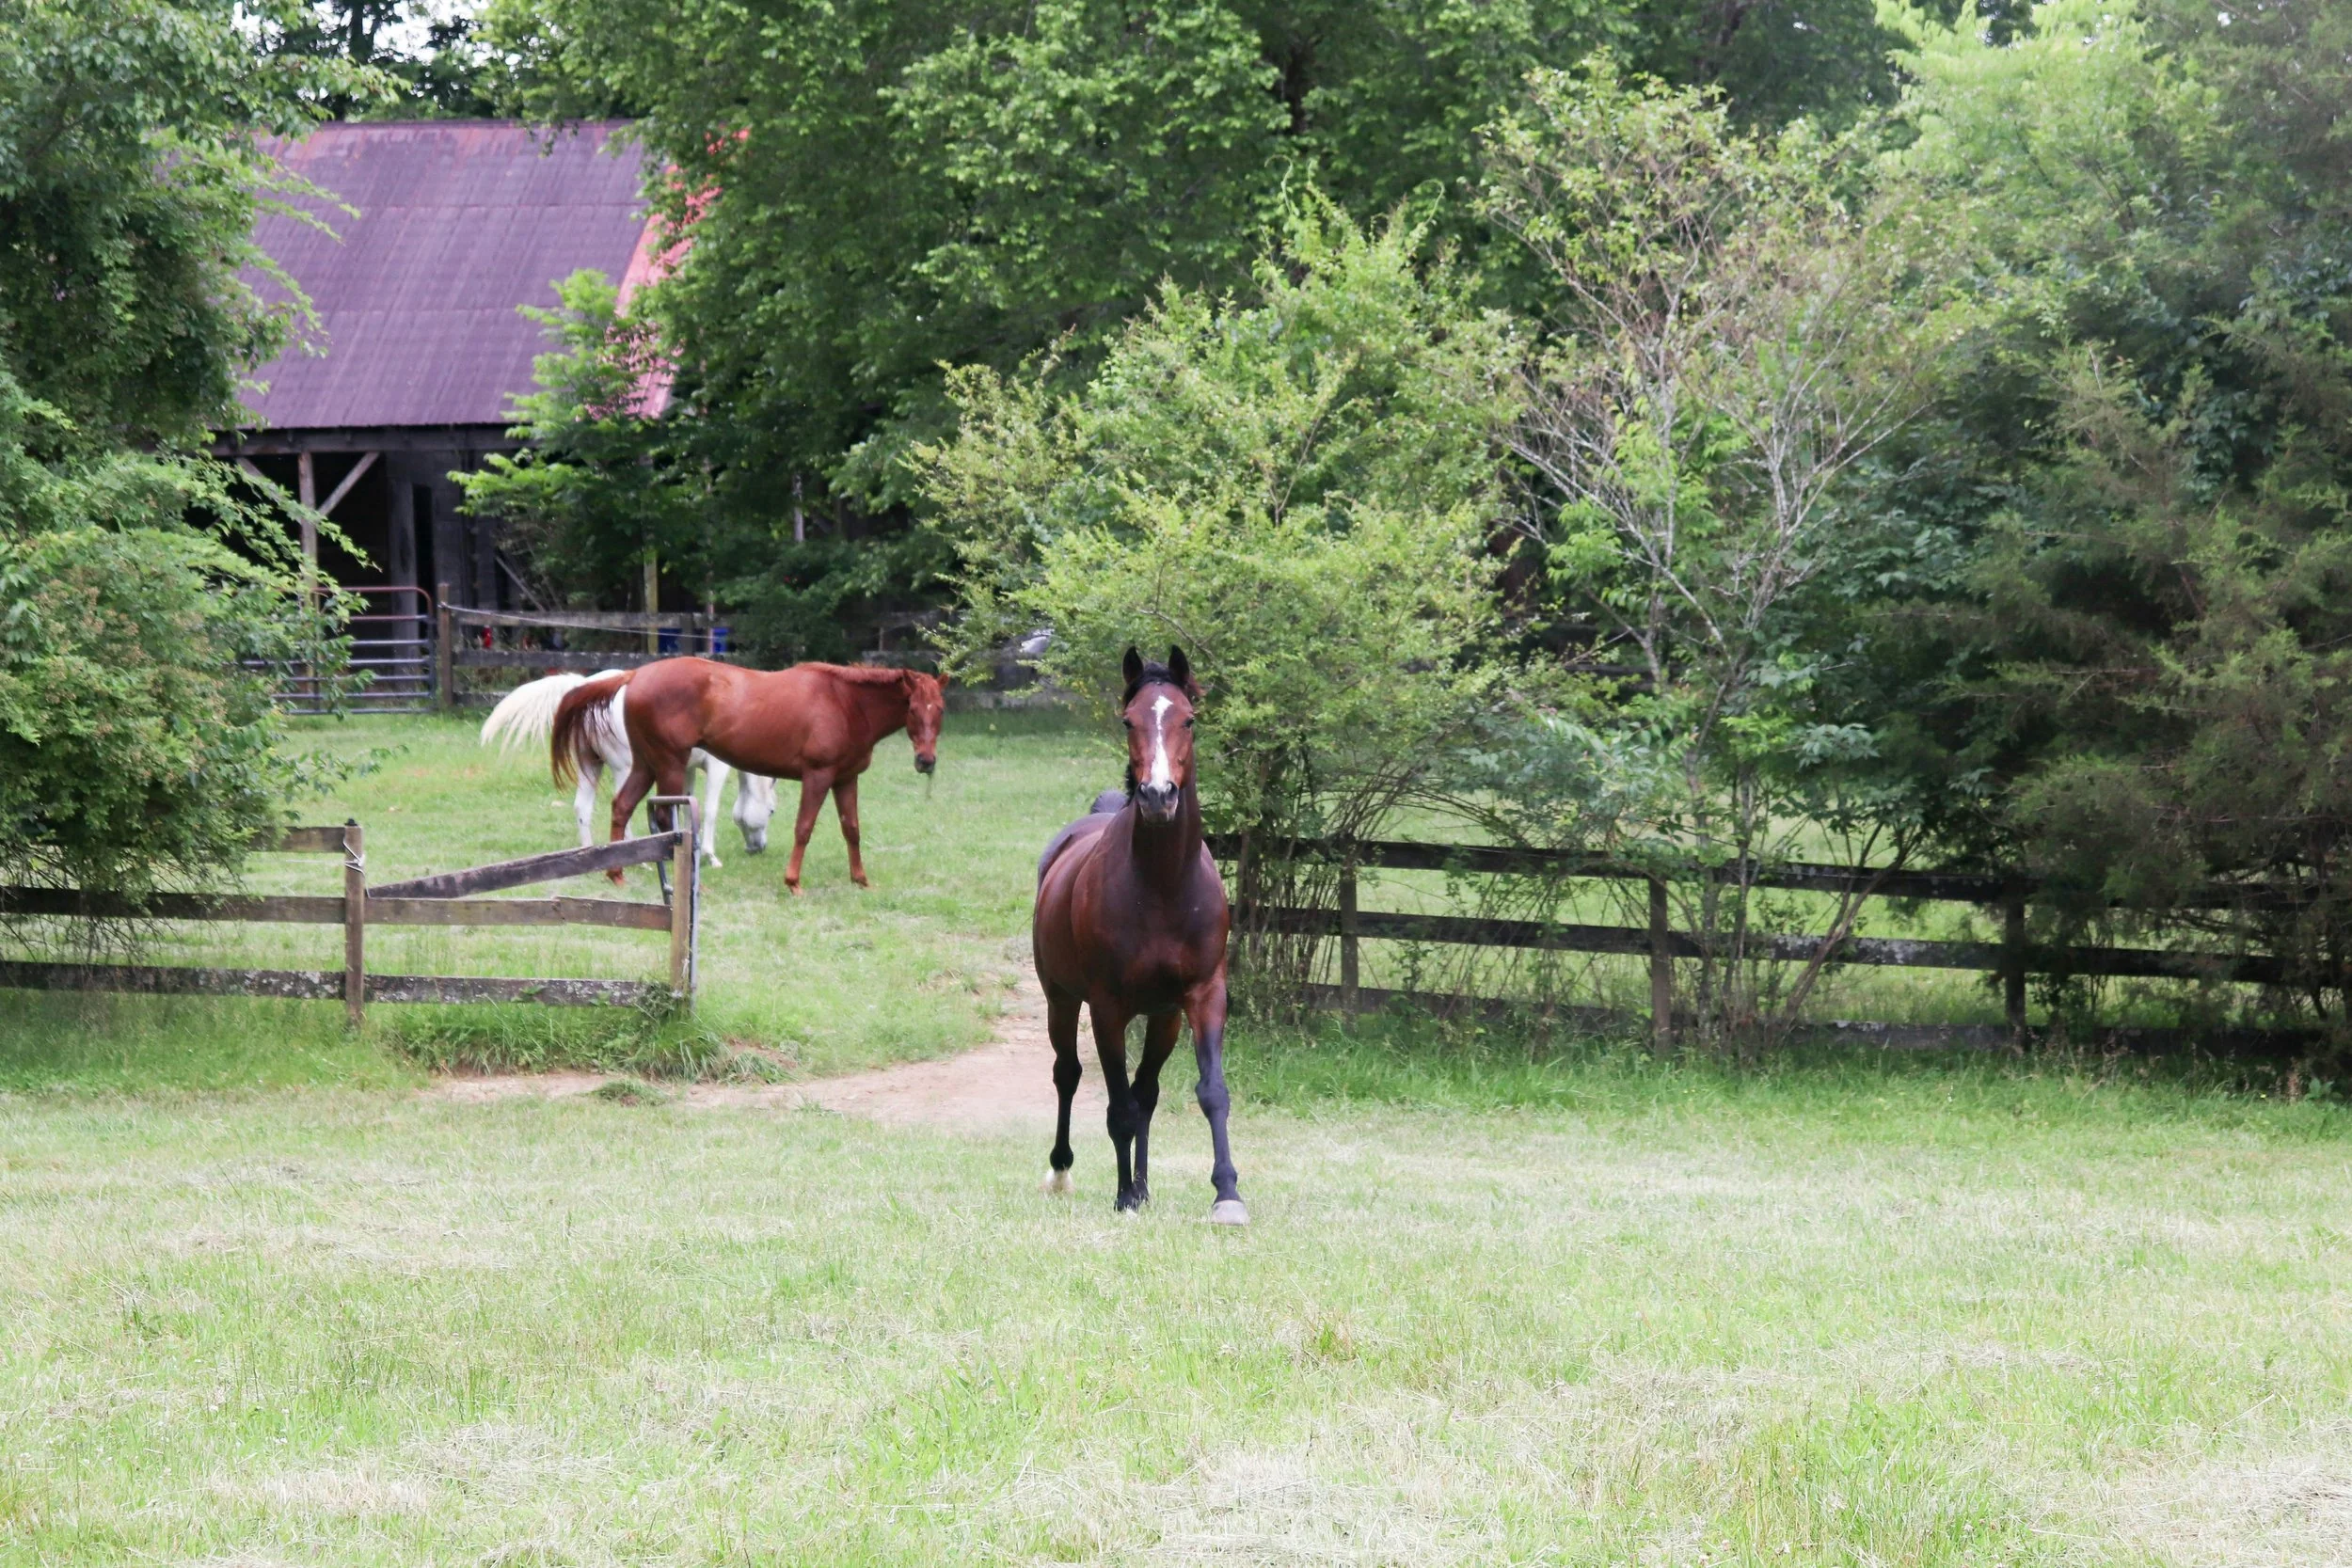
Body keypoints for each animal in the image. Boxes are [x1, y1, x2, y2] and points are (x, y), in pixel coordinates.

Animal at [479, 671, 778, 867]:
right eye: (772, 811)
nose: (758, 848)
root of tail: (589, 685)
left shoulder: (685, 769)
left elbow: (682, 805)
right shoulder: (716, 767)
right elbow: (711, 810)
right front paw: (709, 855)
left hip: (591, 766)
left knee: (582, 808)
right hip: (626, 768)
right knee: (623, 807)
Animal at [550, 657, 946, 893]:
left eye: (939, 709)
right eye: (912, 708)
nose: (926, 761)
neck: (845, 703)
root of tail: (635, 675)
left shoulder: (846, 779)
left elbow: (852, 829)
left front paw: (860, 879)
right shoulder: (818, 777)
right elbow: (804, 828)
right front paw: (792, 882)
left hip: (647, 765)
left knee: (622, 807)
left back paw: (616, 873)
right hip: (669, 764)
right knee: (663, 818)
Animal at [1032, 646, 1245, 1224]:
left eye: (1188, 719)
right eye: (1129, 721)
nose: (1156, 795)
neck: (1164, 887)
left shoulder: (1201, 996)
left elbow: (1208, 1092)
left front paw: (1227, 1195)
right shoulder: (1108, 1007)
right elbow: (1117, 1105)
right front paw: (1124, 1197)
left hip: (1163, 1017)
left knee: (1146, 1091)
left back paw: (1145, 1185)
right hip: (1061, 1000)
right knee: (1067, 1074)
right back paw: (1063, 1173)